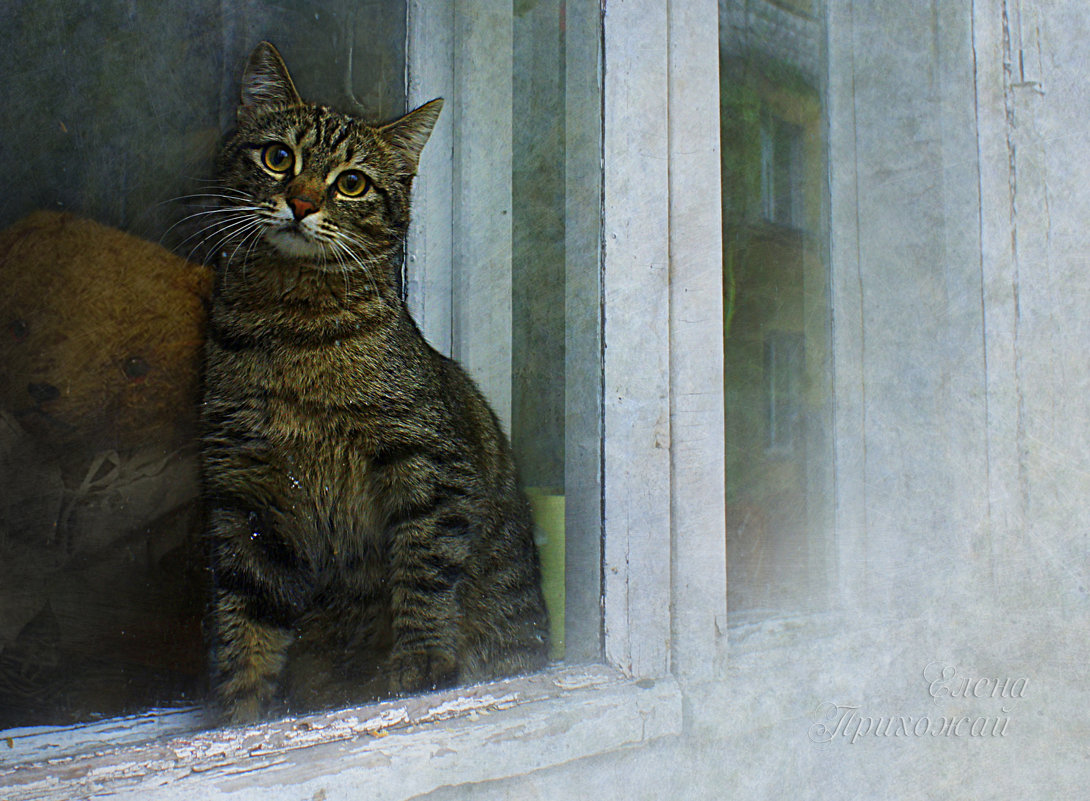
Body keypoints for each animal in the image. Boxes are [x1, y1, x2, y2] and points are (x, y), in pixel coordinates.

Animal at [201, 40, 549, 723]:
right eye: (279, 158)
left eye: (352, 183)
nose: (302, 202)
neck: (292, 326)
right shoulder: (246, 494)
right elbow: (244, 624)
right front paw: (238, 718)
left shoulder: (429, 462)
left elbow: (425, 567)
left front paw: (421, 664)